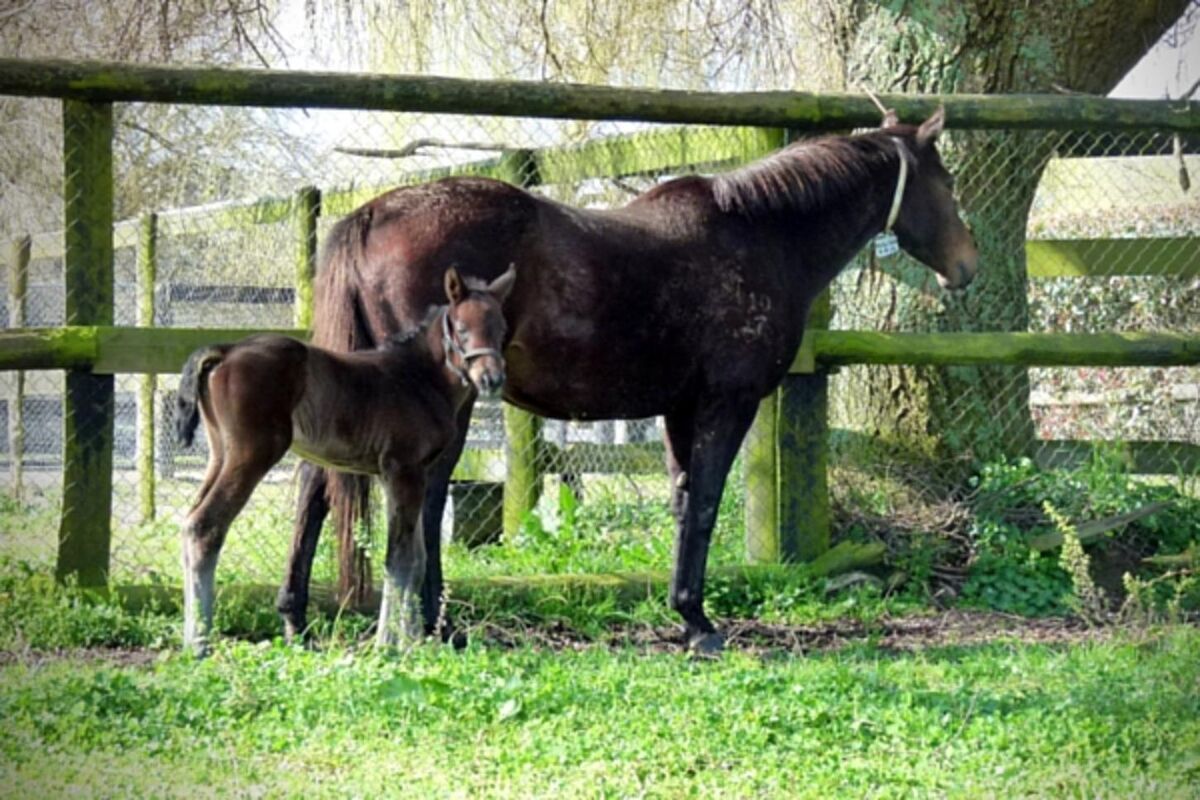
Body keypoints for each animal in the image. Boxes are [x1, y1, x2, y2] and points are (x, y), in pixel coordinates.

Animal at [174, 266, 515, 653]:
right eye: (461, 327)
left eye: (501, 328)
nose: (491, 379)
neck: (419, 377)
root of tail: (226, 350)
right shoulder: (404, 469)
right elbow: (400, 558)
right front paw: (389, 644)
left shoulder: (399, 475)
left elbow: (416, 558)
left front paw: (409, 641)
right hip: (253, 453)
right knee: (206, 526)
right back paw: (200, 643)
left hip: (221, 453)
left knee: (189, 523)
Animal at [278, 107, 978, 654]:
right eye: (944, 181)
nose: (967, 264)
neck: (761, 237)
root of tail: (369, 215)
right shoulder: (728, 403)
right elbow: (704, 504)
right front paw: (699, 623)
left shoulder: (679, 409)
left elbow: (682, 502)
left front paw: (683, 612)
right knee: (413, 504)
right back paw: (431, 625)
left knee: (316, 487)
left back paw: (298, 620)